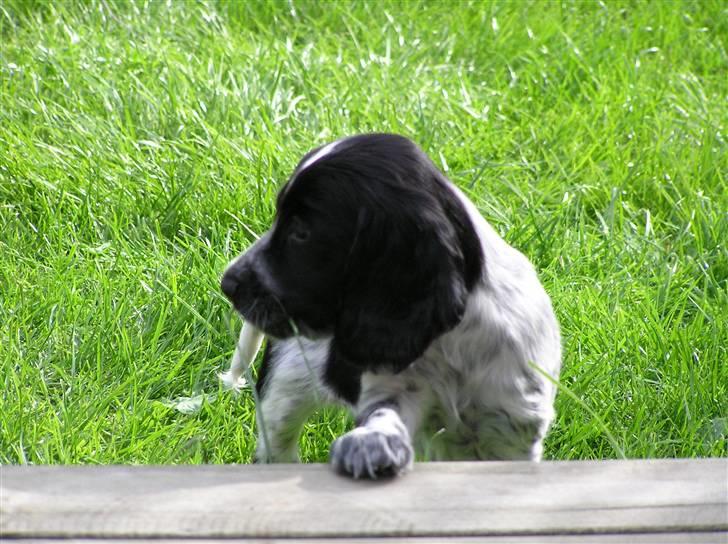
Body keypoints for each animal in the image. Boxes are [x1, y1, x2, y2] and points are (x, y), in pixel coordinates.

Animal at [222, 134, 564, 478]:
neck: (449, 342)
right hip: (286, 383)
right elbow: (386, 414)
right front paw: (372, 444)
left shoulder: (511, 427)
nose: (227, 284)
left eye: (301, 232)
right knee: (277, 439)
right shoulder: (394, 387)